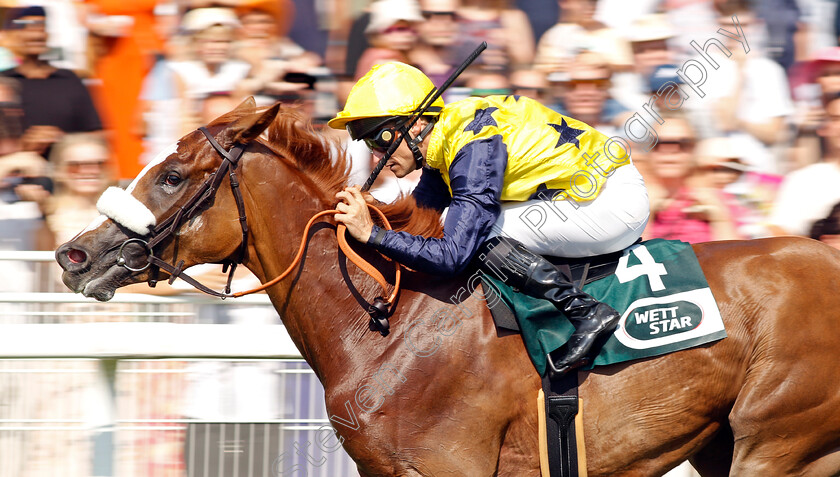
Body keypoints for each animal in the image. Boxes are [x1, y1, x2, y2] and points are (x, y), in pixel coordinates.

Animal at [55, 101, 840, 476]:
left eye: (171, 176)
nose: (74, 253)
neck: (388, 321)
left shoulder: (450, 465)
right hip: (726, 442)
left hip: (778, 440)